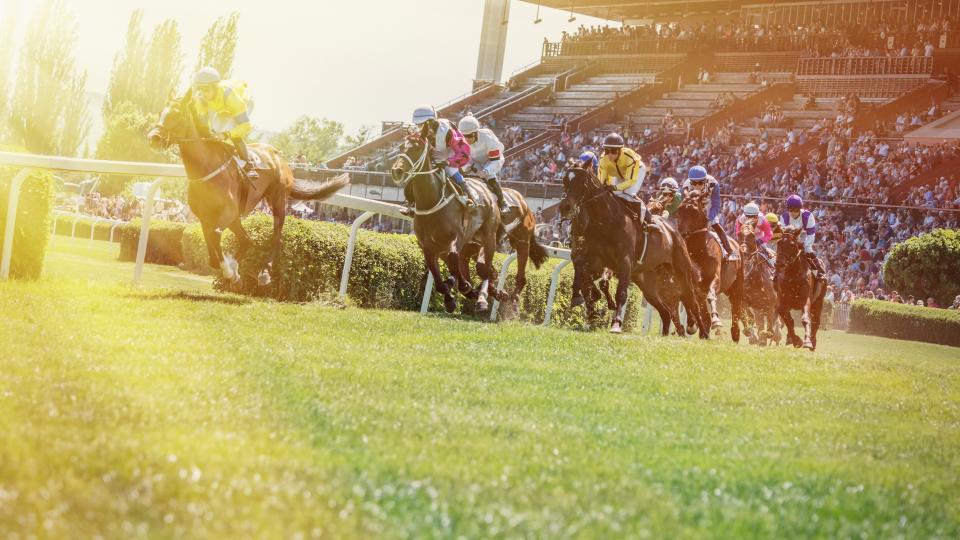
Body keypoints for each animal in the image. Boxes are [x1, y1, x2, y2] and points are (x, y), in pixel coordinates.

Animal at [148, 92, 346, 286]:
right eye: (160, 113)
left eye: (176, 115)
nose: (153, 138)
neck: (207, 167)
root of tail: (280, 157)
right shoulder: (206, 215)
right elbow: (210, 239)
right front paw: (229, 268)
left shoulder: (227, 212)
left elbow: (214, 235)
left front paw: (229, 270)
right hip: (237, 218)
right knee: (247, 240)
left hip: (277, 200)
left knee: (276, 235)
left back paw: (264, 272)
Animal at [556, 168, 704, 338]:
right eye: (565, 181)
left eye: (581, 183)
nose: (565, 207)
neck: (606, 220)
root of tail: (674, 232)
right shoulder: (593, 258)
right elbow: (583, 274)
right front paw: (586, 302)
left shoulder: (624, 261)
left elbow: (620, 292)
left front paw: (616, 323)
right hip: (647, 284)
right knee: (666, 311)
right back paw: (667, 333)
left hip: (682, 272)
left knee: (691, 300)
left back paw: (701, 332)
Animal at [672, 190, 748, 342]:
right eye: (679, 210)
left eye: (695, 212)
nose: (682, 235)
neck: (697, 249)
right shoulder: (691, 282)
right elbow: (688, 299)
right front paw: (692, 325)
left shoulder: (714, 278)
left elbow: (711, 296)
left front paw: (716, 321)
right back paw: (704, 332)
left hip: (737, 286)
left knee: (736, 307)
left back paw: (735, 332)